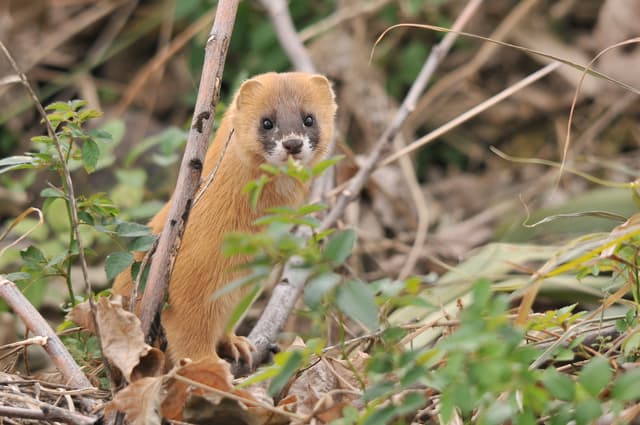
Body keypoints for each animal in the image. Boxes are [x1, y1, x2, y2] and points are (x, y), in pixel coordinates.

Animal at [112, 71, 338, 362]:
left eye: (309, 118)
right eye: (267, 122)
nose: (292, 143)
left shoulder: (247, 285)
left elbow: (226, 320)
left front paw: (236, 343)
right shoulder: (188, 274)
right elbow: (190, 332)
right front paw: (211, 368)